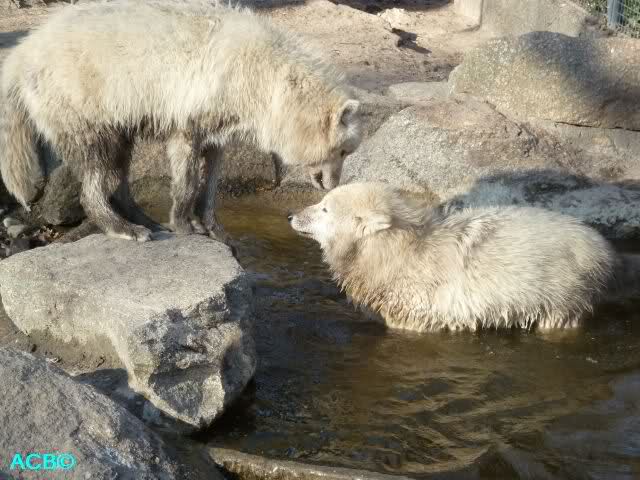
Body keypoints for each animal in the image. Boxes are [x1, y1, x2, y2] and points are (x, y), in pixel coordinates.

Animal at [0, 0, 361, 241]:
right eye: (344, 151)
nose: (333, 185)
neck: (266, 75)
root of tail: (25, 50)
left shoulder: (224, 119)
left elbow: (212, 172)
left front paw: (212, 227)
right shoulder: (193, 108)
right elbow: (186, 172)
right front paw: (185, 225)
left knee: (118, 169)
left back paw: (146, 221)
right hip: (84, 100)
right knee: (97, 167)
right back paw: (126, 228)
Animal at [289, 182, 624, 332]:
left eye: (324, 208)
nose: (290, 215)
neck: (401, 251)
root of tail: (601, 247)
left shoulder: (417, 307)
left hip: (561, 289)